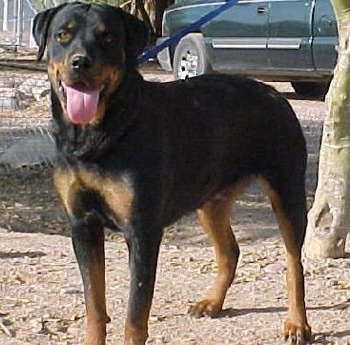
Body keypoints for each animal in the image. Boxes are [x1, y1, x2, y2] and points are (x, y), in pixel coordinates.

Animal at [32, 3, 312, 344]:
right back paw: (212, 302)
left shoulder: (142, 231)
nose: (80, 62)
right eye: (62, 34)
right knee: (230, 251)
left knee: (294, 263)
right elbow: (94, 306)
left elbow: (135, 315)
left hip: (287, 193)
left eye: (107, 37)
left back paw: (297, 323)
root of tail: (275, 94)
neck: (98, 134)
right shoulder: (82, 226)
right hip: (210, 200)